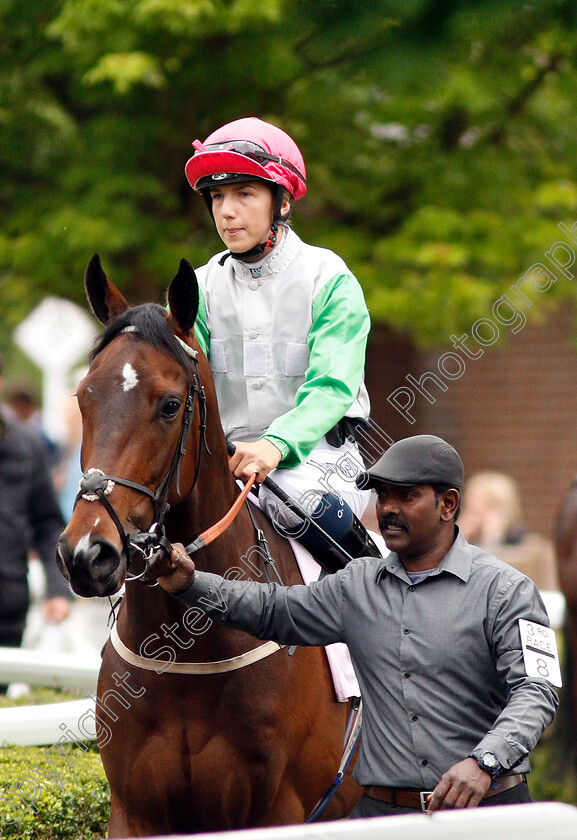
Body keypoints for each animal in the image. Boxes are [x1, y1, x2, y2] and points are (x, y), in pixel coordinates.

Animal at [54, 258, 360, 840]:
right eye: (83, 397)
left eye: (170, 405)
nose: (86, 553)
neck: (187, 650)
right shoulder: (135, 814)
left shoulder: (273, 812)